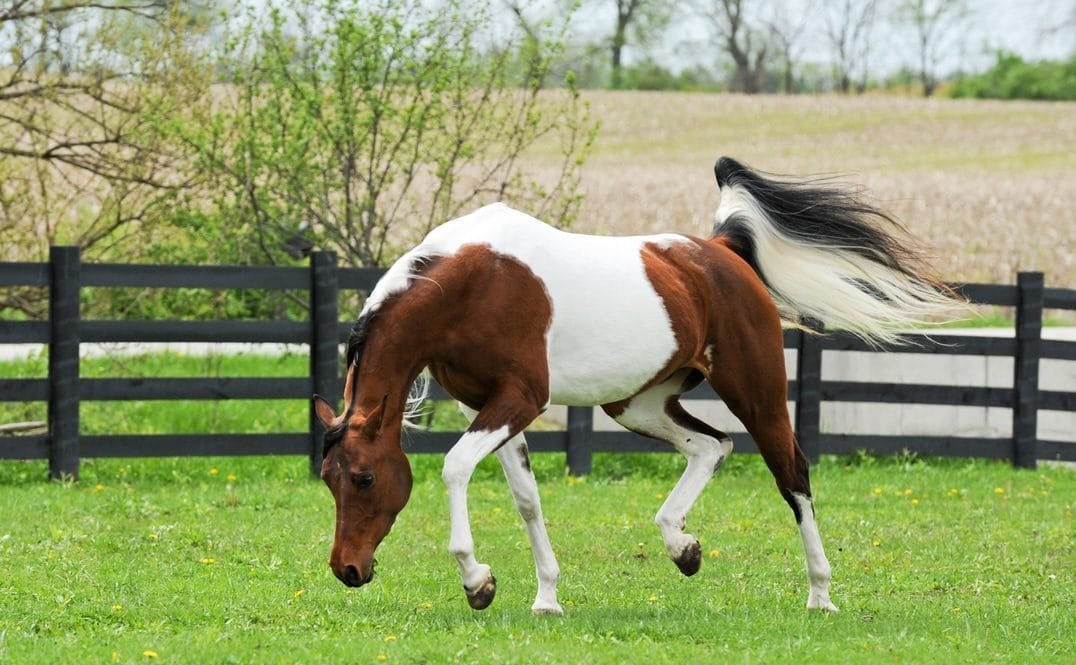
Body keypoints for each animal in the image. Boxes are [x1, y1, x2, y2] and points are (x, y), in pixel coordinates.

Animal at [312, 156, 958, 615]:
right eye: (328, 480)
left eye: (364, 478)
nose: (347, 569)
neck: (466, 285)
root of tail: (720, 249)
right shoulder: (492, 405)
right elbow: (527, 498)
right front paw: (546, 597)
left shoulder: (521, 398)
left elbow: (455, 467)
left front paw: (478, 582)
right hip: (637, 405)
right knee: (712, 446)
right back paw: (683, 546)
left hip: (757, 392)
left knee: (791, 474)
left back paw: (820, 593)